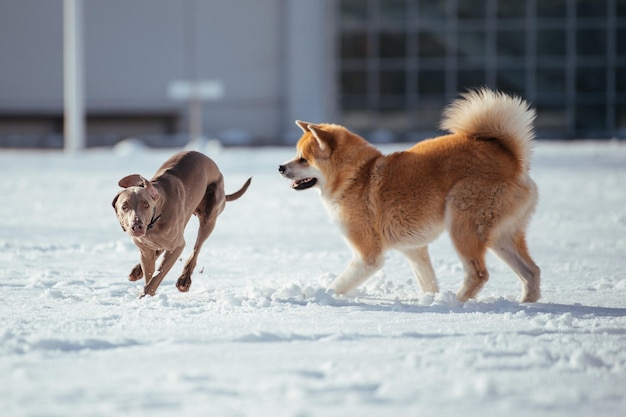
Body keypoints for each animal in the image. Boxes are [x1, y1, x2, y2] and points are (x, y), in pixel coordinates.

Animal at [280, 88, 540, 302]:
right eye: (296, 154)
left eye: (303, 159)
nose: (281, 167)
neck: (355, 176)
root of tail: (512, 159)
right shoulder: (413, 249)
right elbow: (428, 282)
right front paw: (428, 299)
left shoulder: (368, 255)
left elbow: (338, 284)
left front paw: (315, 297)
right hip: (501, 236)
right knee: (531, 272)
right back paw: (526, 303)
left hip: (463, 225)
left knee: (478, 274)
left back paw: (453, 303)